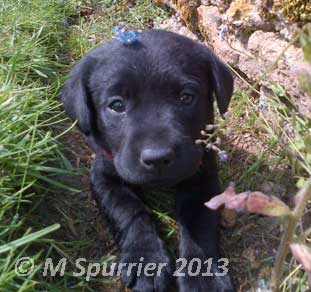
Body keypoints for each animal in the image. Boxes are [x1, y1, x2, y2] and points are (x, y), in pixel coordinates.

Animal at [62, 28, 235, 290]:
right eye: (117, 105)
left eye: (186, 97)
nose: (157, 158)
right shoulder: (104, 175)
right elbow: (127, 209)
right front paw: (145, 260)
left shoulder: (202, 174)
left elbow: (199, 221)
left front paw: (203, 277)